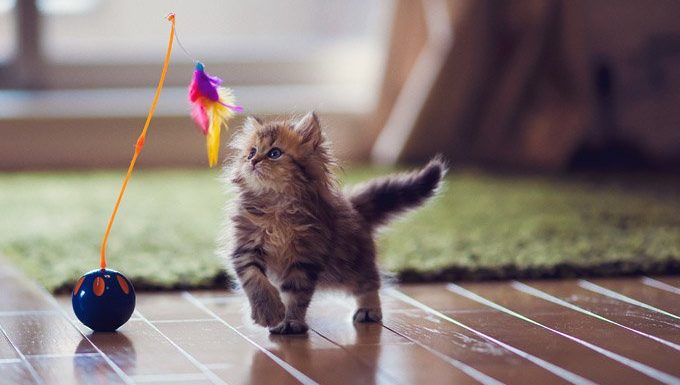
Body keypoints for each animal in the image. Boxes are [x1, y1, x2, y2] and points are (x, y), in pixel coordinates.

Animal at [222, 112, 446, 332]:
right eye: (251, 153)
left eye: (274, 153)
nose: (253, 161)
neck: (275, 205)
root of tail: (353, 206)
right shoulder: (245, 247)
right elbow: (255, 280)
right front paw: (268, 312)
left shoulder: (306, 257)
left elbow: (296, 295)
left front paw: (291, 321)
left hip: (351, 265)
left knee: (370, 283)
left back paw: (368, 310)